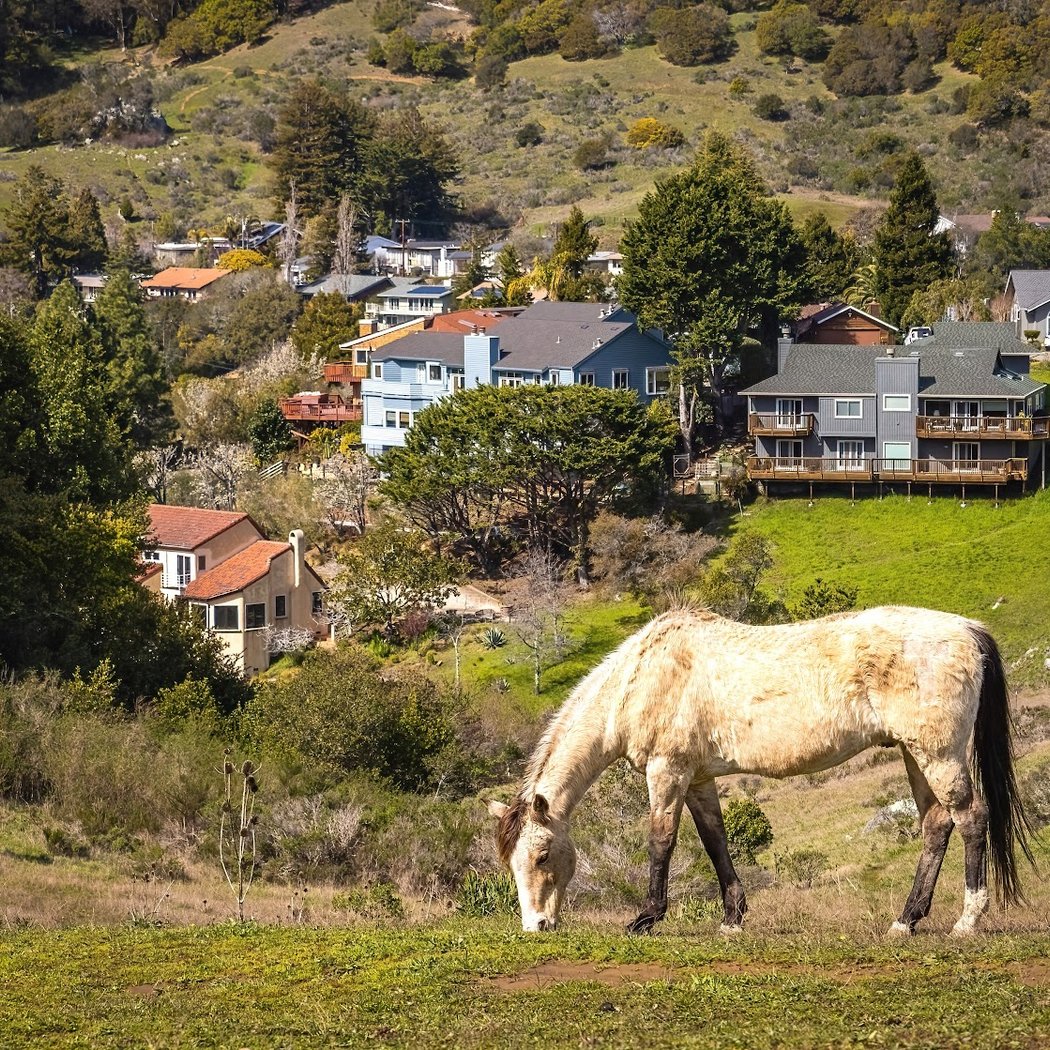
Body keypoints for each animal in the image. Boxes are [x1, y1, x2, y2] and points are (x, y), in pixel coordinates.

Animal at [489, 606, 1034, 936]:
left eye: (542, 856)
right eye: (510, 863)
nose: (536, 926)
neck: (642, 677)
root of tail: (969, 631)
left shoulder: (668, 771)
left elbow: (662, 840)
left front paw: (646, 918)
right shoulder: (698, 777)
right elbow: (715, 840)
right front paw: (732, 918)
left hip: (938, 754)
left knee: (971, 818)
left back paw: (967, 920)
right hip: (913, 753)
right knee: (936, 825)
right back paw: (906, 920)